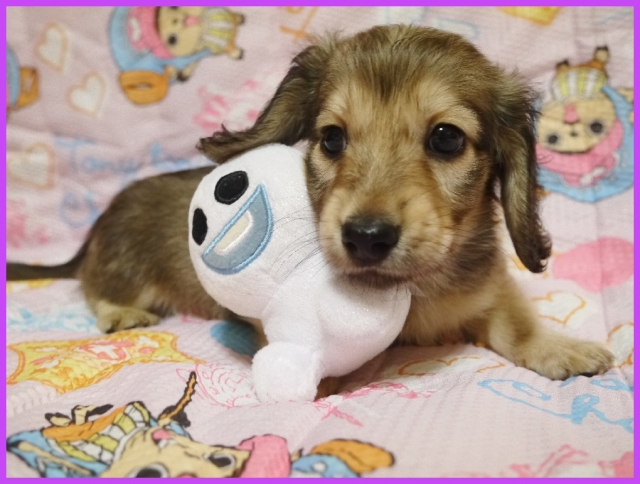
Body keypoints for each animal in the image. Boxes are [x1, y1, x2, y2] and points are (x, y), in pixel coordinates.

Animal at [7, 25, 614, 382]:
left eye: (446, 138)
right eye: (332, 139)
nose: (365, 238)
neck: (414, 290)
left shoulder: (488, 288)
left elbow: (516, 321)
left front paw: (561, 348)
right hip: (123, 270)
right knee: (95, 286)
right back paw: (121, 311)